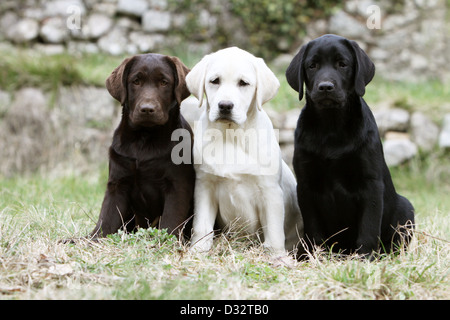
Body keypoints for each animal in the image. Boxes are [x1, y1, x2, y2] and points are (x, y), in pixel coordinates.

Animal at [90, 53, 196, 240]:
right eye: (136, 81)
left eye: (164, 82)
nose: (147, 109)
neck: (144, 139)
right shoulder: (117, 184)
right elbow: (106, 218)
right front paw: (90, 239)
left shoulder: (177, 185)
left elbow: (171, 219)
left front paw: (167, 241)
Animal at [186, 46, 302, 258]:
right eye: (215, 81)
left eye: (243, 83)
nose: (225, 105)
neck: (231, 135)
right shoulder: (205, 185)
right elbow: (202, 225)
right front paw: (198, 250)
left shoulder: (270, 191)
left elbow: (274, 232)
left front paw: (277, 257)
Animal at [286, 34, 414, 258]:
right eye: (312, 65)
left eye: (342, 64)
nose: (325, 87)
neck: (332, 126)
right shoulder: (306, 185)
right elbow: (313, 228)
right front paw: (314, 256)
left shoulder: (371, 184)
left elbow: (368, 226)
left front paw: (366, 257)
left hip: (406, 209)